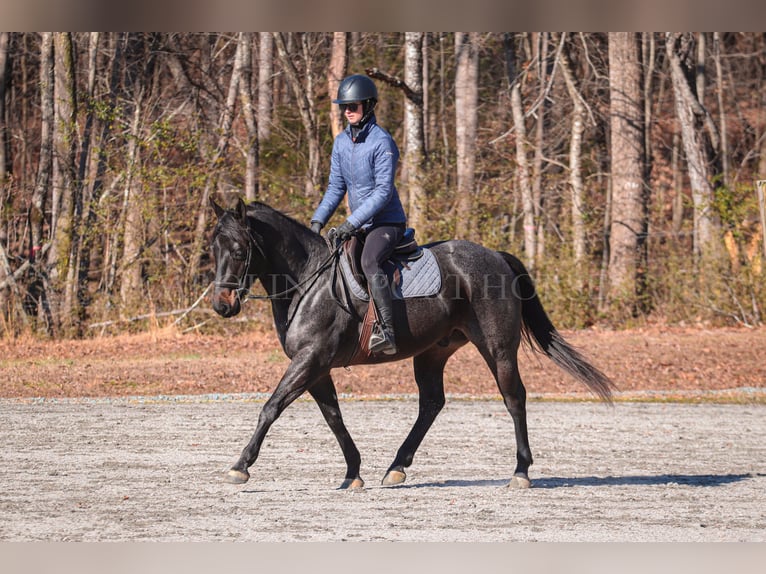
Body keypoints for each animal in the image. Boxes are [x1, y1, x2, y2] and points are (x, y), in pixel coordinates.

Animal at [207, 199, 616, 490]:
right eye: (214, 250)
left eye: (240, 251)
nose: (221, 306)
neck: (309, 281)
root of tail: (496, 256)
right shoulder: (316, 367)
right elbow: (334, 417)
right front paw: (353, 472)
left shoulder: (310, 359)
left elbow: (271, 407)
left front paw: (240, 466)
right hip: (433, 351)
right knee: (431, 403)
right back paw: (396, 467)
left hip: (497, 349)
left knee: (514, 398)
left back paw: (520, 471)